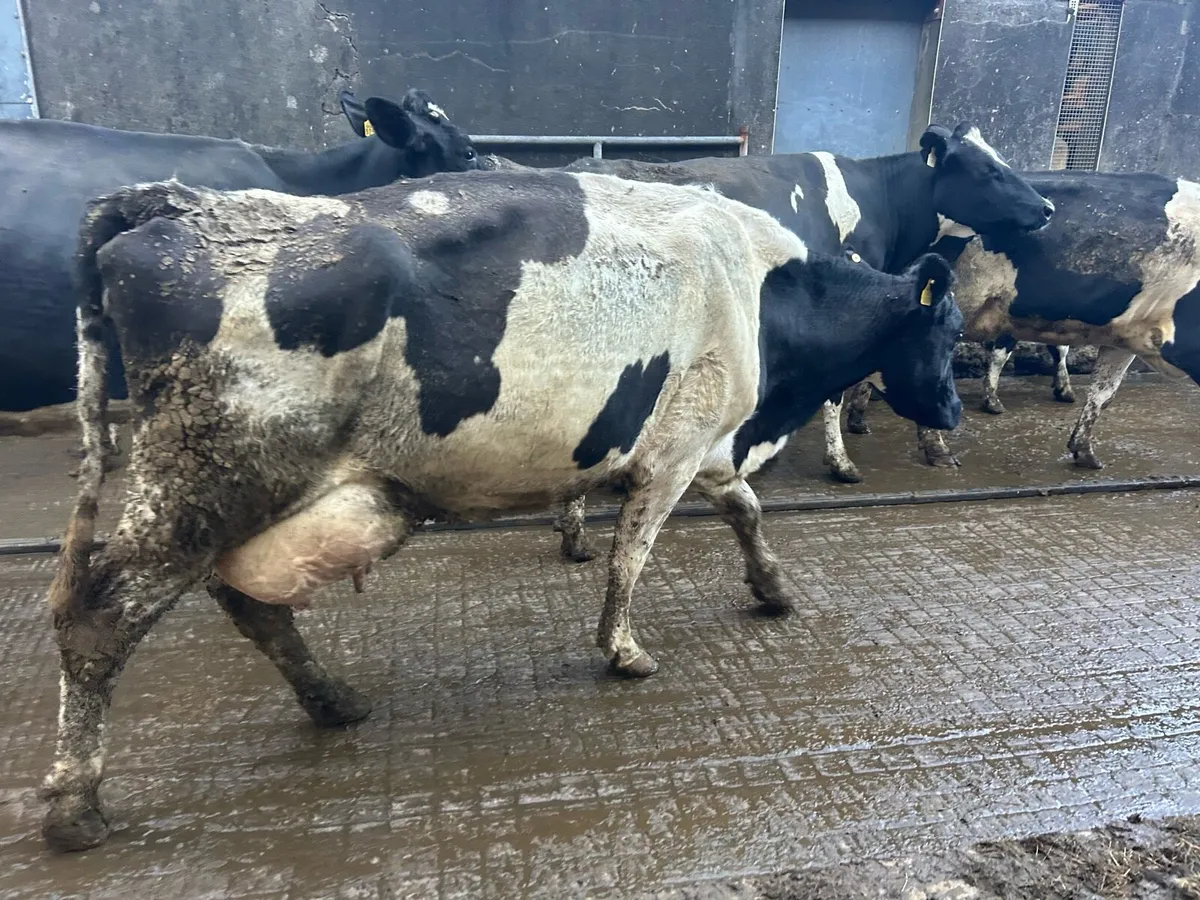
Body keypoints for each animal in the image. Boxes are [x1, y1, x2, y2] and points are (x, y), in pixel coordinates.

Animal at [40, 169, 963, 851]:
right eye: (948, 332)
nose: (954, 413)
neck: (764, 288)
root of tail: (180, 203)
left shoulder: (702, 448)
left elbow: (744, 512)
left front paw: (772, 589)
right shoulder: (678, 445)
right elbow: (635, 552)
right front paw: (622, 648)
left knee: (250, 603)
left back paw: (333, 701)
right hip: (202, 485)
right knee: (99, 616)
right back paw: (75, 805)